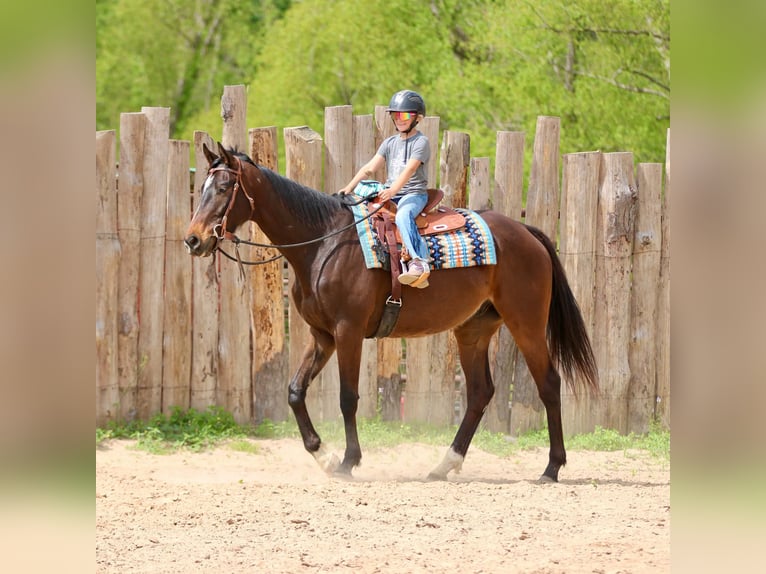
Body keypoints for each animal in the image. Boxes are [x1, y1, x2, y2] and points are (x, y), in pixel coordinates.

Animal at [184, 143, 598, 483]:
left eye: (224, 188)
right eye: (203, 187)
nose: (193, 239)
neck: (324, 244)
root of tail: (528, 233)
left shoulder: (348, 331)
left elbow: (347, 397)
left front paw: (348, 461)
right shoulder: (323, 336)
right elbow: (295, 392)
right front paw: (323, 454)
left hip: (526, 324)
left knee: (549, 384)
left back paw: (551, 468)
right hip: (473, 330)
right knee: (480, 392)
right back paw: (444, 465)